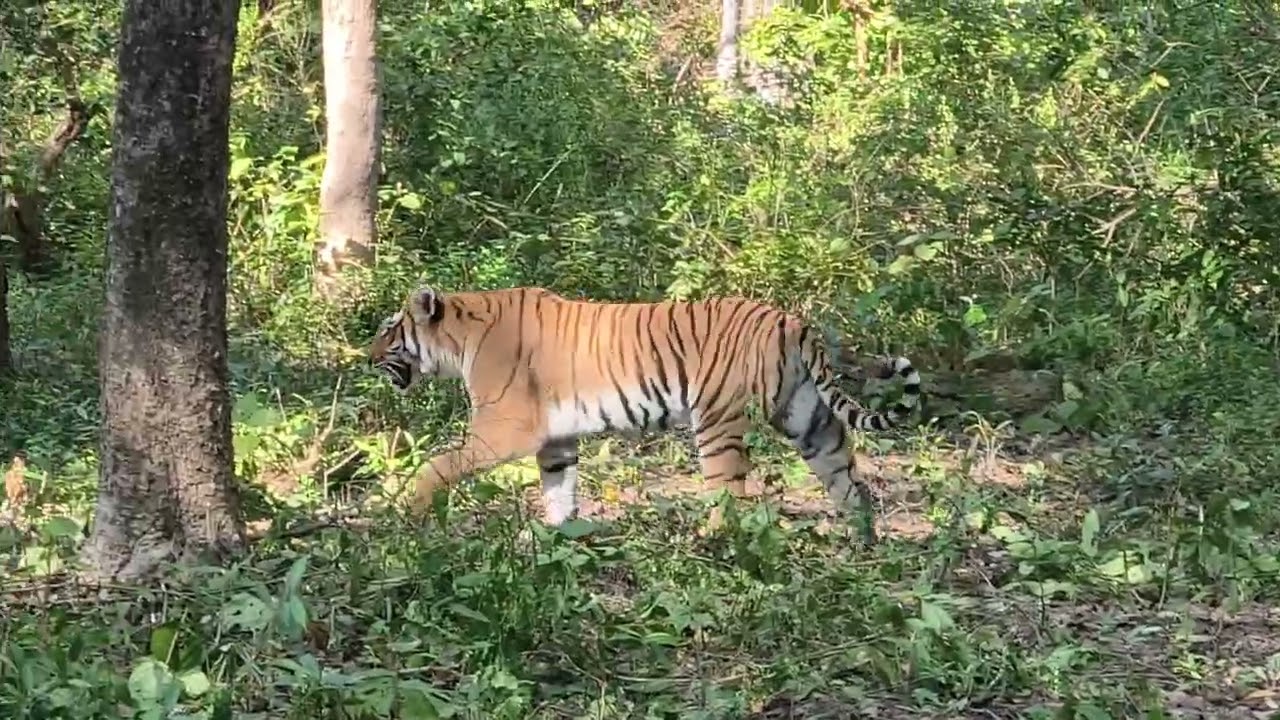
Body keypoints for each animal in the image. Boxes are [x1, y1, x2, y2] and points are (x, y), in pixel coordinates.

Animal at [369, 285, 922, 542]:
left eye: (388, 329)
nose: (367, 356)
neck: (459, 339)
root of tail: (791, 319)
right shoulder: (556, 440)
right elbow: (559, 491)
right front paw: (557, 538)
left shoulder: (505, 429)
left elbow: (437, 465)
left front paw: (409, 511)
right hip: (805, 417)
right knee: (847, 477)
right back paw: (864, 540)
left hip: (717, 420)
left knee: (730, 491)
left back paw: (706, 542)